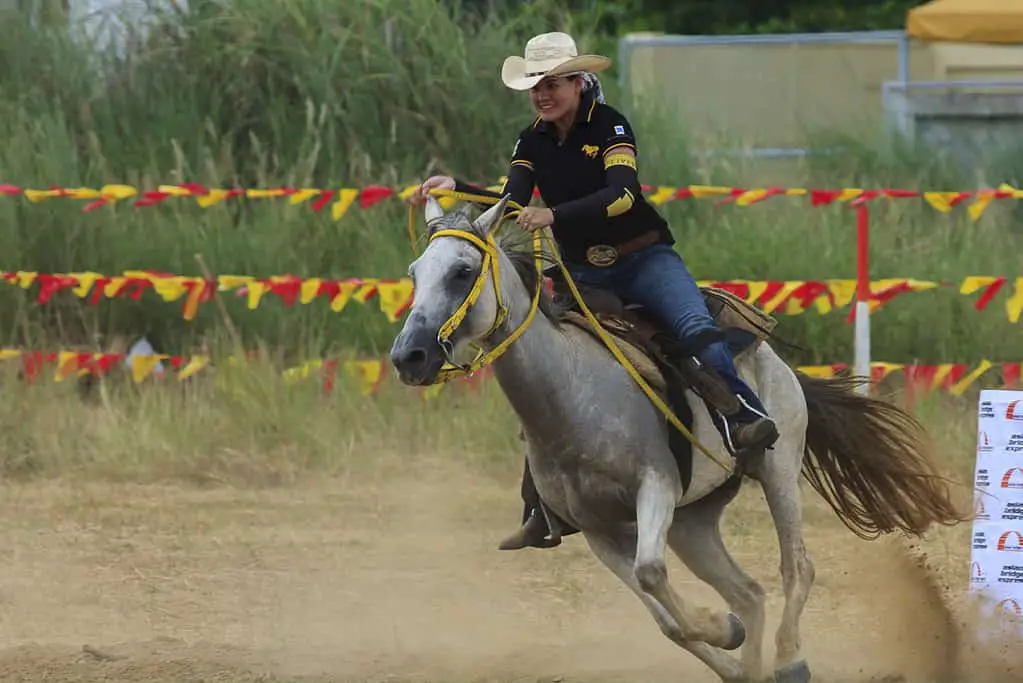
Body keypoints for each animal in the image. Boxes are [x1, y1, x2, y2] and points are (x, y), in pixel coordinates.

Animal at [388, 196, 965, 683]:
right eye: (415, 273)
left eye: (462, 272)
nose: (408, 356)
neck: (570, 394)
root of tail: (779, 363)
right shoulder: (597, 530)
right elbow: (666, 617)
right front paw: (726, 635)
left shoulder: (656, 487)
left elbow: (651, 573)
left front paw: (724, 630)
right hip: (694, 520)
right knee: (749, 592)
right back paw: (750, 658)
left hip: (777, 468)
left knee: (796, 568)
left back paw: (789, 661)